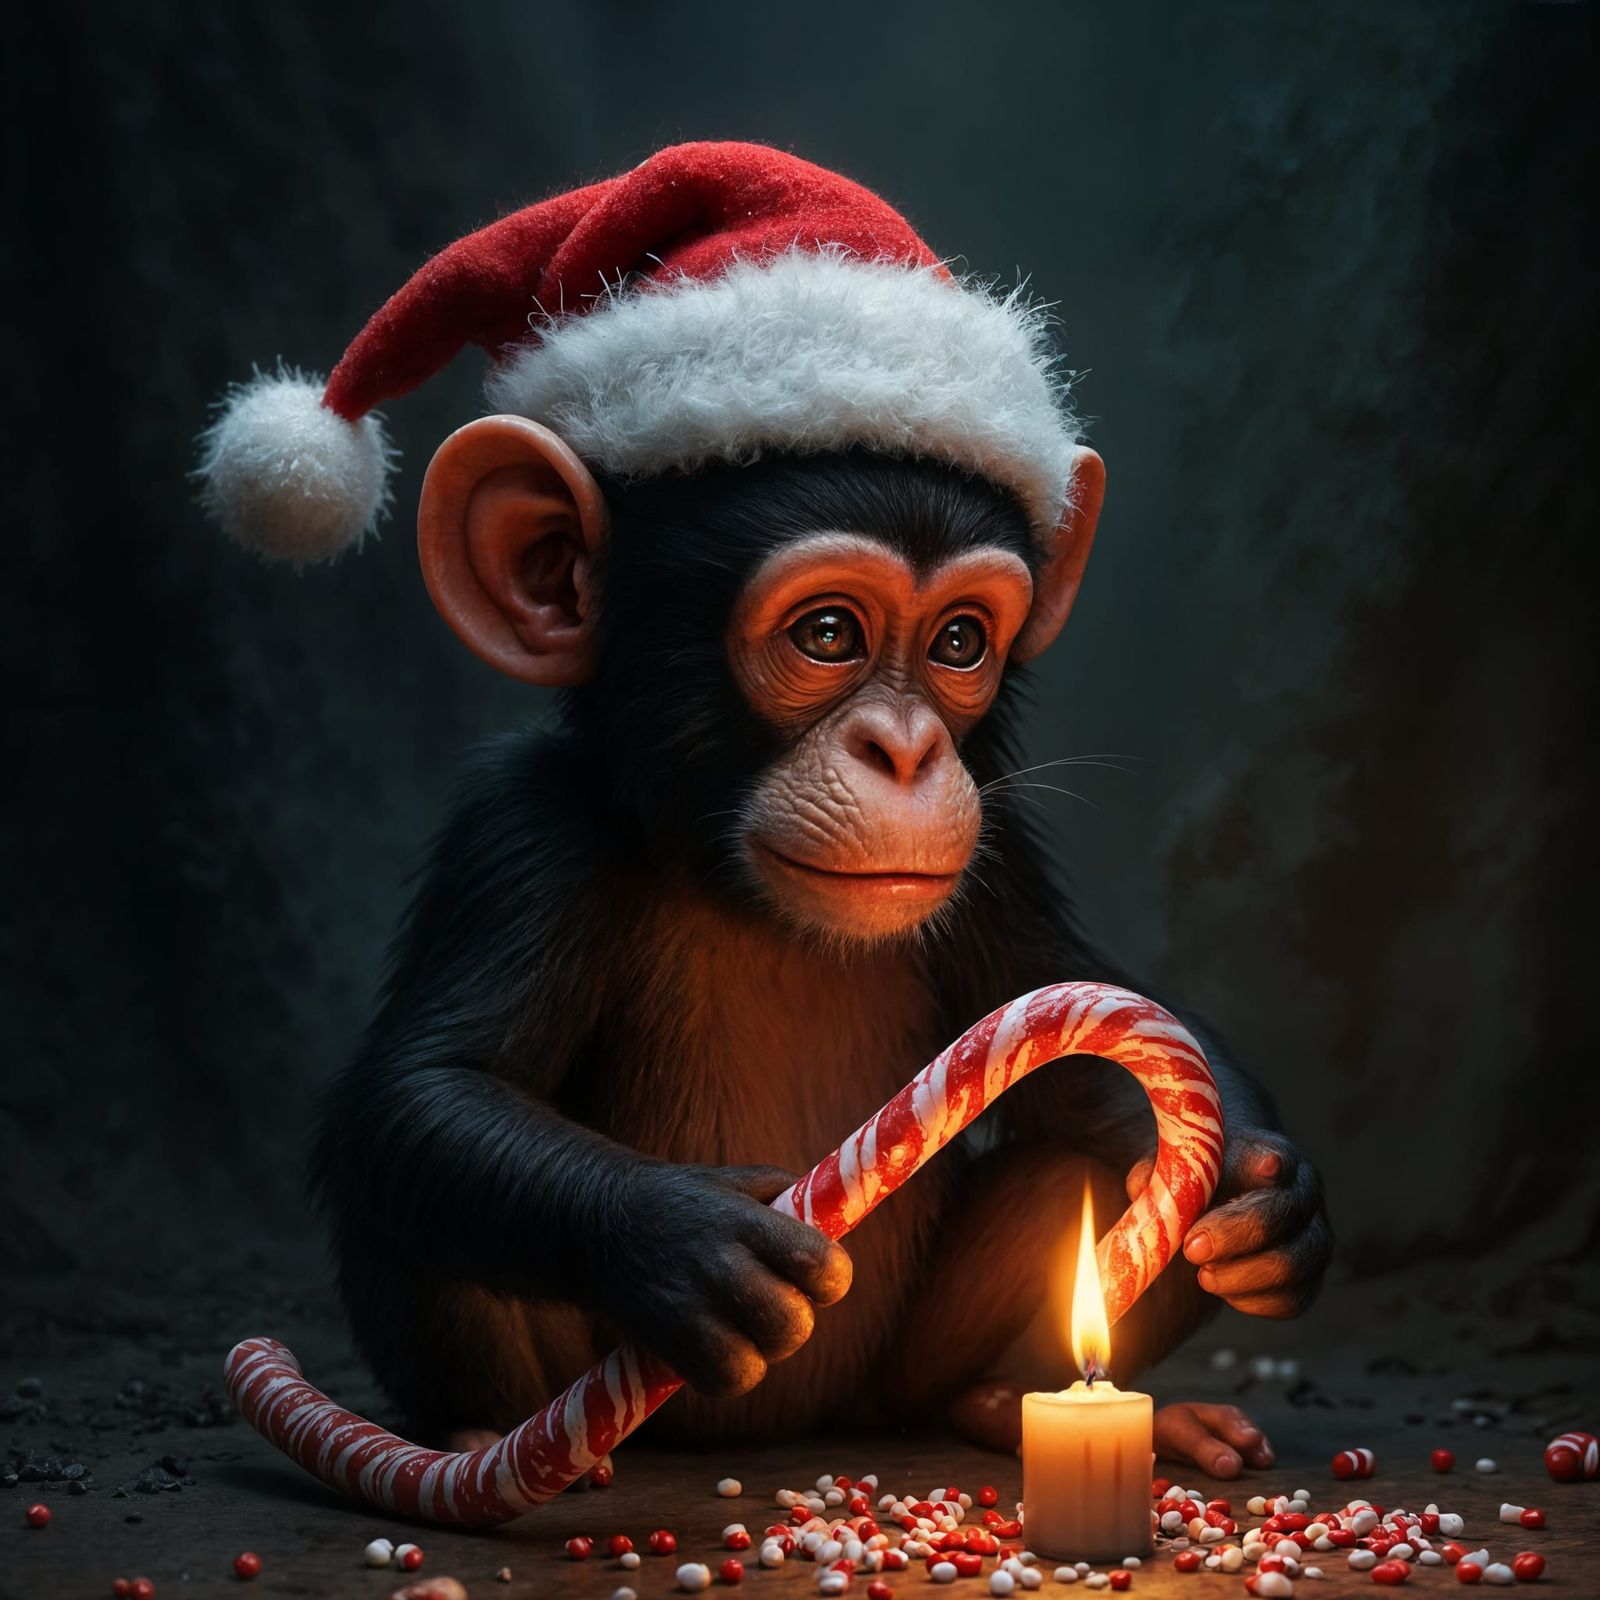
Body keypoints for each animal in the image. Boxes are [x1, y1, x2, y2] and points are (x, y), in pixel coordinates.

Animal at [309, 423, 1333, 1479]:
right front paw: (683, 1236)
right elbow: (433, 1084)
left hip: (901, 1373)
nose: (907, 750)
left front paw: (1265, 1191)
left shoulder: (999, 856)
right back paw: (479, 1438)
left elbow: (1071, 1019)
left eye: (959, 642)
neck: (731, 880)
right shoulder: (521, 831)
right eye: (829, 634)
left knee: (1081, 1174)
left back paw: (1017, 1405)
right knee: (414, 1207)